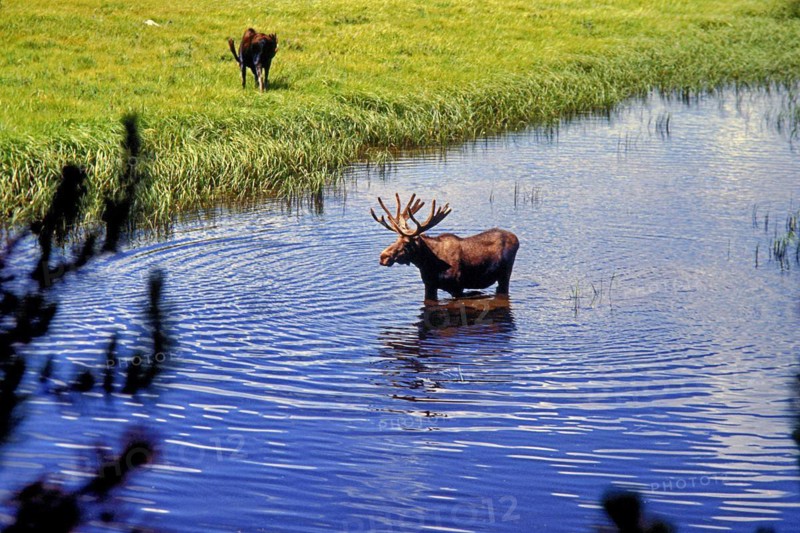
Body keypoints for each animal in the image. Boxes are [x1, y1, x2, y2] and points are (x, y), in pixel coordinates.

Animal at [371, 193, 519, 302]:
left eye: (407, 243)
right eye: (396, 239)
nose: (383, 257)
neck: (429, 264)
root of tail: (517, 239)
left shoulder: (457, 287)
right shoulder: (429, 286)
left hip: (505, 274)